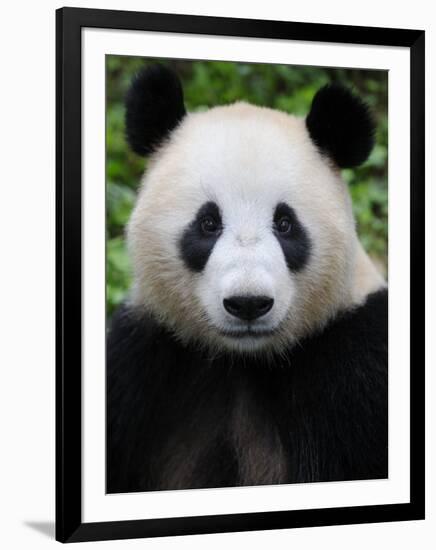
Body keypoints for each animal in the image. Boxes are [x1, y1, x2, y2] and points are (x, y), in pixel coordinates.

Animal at [107, 64, 386, 496]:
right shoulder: (140, 361)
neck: (244, 360)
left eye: (285, 224)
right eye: (208, 223)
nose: (248, 303)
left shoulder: (358, 371)